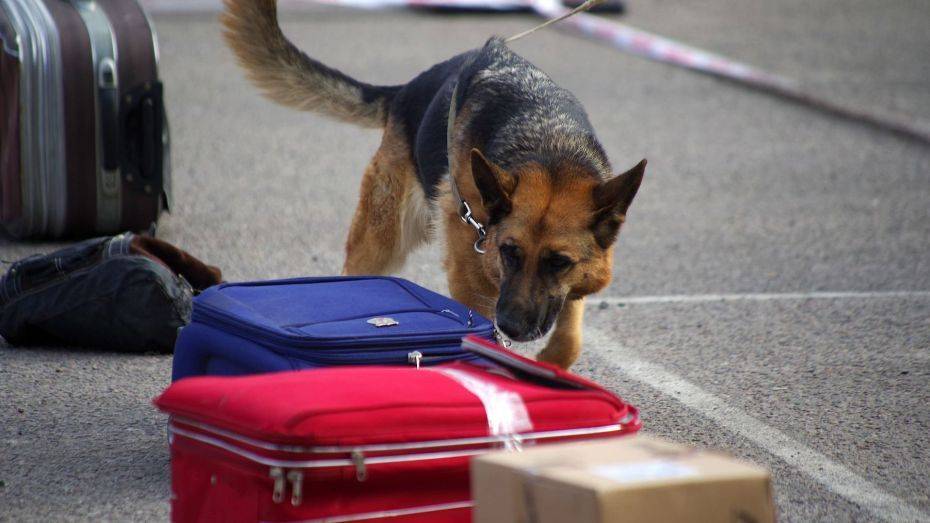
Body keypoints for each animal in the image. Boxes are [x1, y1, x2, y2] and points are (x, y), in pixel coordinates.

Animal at [223, 0, 644, 370]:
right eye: (509, 252)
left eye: (559, 262)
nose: (511, 326)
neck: (548, 149)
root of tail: (406, 90)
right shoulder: (469, 277)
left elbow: (569, 335)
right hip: (382, 240)